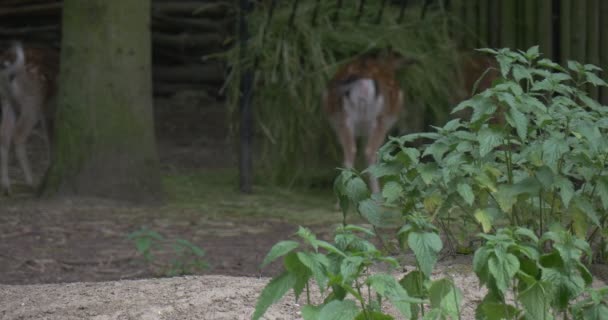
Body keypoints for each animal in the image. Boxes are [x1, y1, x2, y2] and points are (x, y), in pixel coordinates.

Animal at [0, 42, 59, 195]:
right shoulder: (49, 111)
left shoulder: (47, 113)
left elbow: (50, 140)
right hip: (32, 101)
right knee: (18, 135)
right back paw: (31, 182)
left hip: (8, 101)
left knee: (4, 136)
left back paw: (6, 186)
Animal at [320, 52, 416, 192]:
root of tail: (363, 84)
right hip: (379, 119)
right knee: (370, 151)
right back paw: (376, 192)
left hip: (344, 118)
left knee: (350, 153)